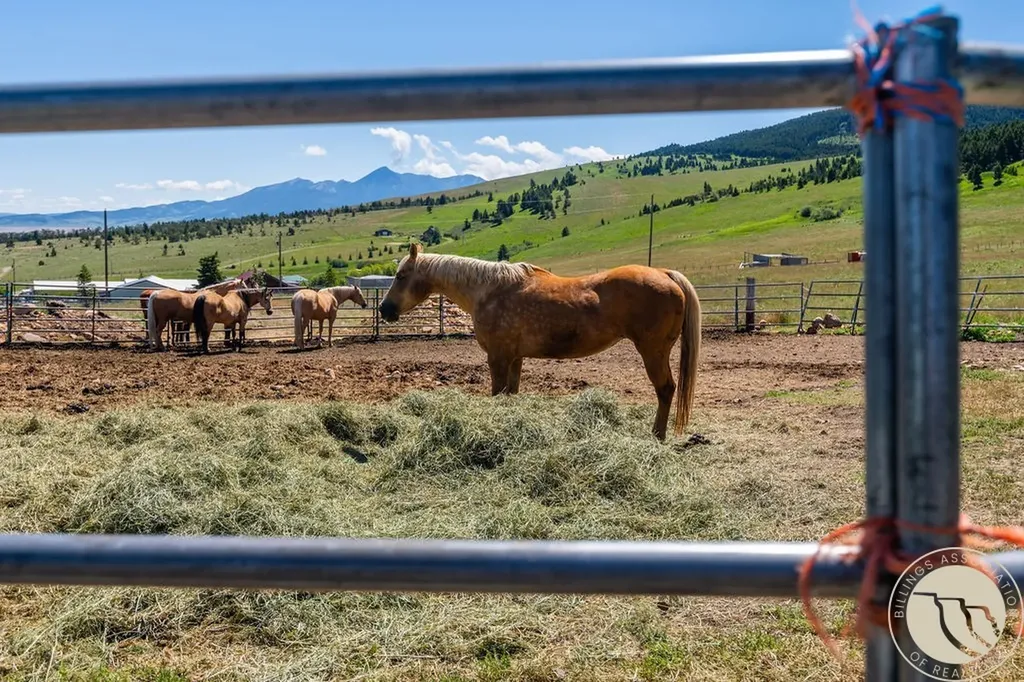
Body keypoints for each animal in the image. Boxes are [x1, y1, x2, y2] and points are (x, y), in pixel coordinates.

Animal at [378, 244, 701, 441]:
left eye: (401, 275)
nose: (384, 310)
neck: (489, 291)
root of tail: (663, 273)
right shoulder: (514, 358)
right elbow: (511, 394)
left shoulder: (497, 358)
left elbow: (498, 394)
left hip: (653, 352)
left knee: (666, 389)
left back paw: (656, 435)